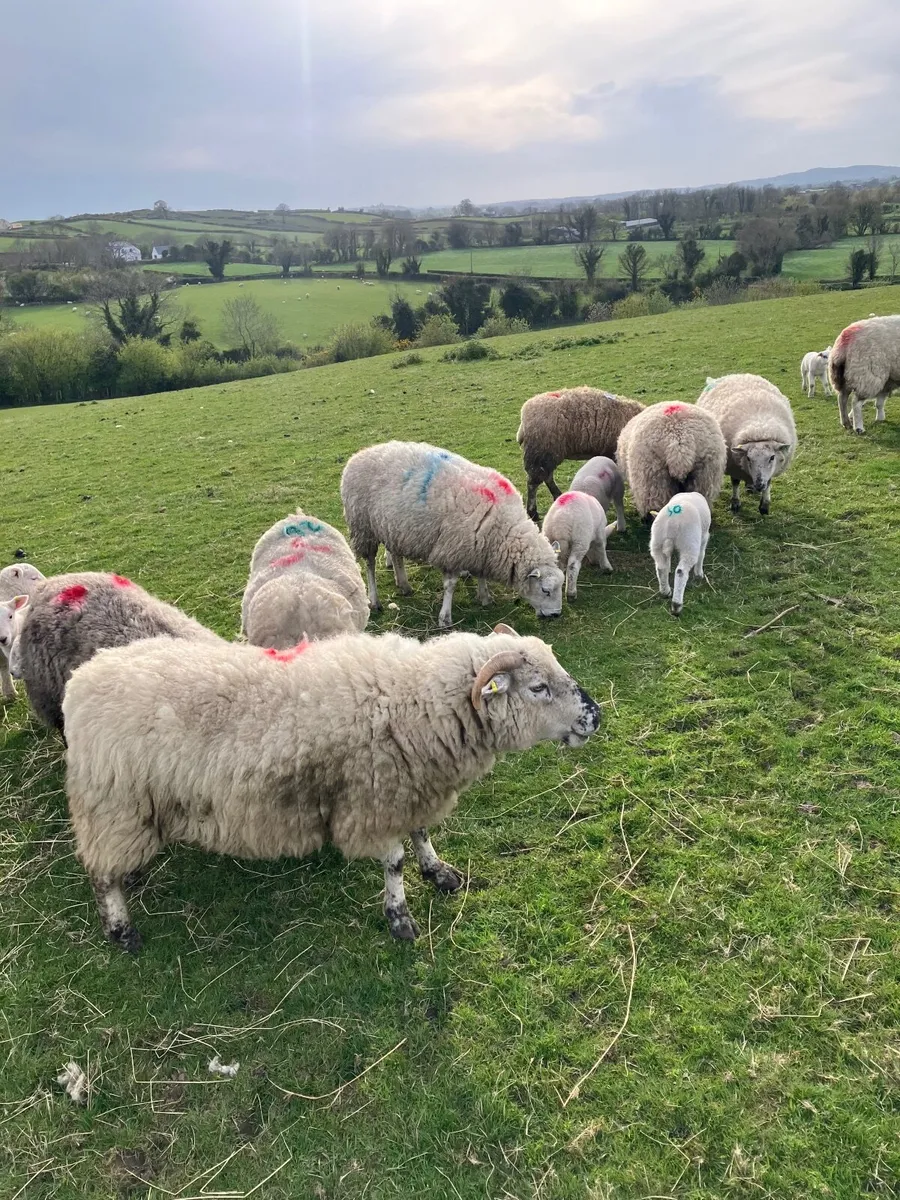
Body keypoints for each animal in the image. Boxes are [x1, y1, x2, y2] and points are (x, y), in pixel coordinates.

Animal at [62, 624, 602, 950]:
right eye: (538, 688)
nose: (595, 717)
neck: (415, 700)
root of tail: (82, 679)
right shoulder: (374, 798)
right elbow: (394, 861)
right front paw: (399, 916)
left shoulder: (413, 786)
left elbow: (422, 833)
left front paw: (438, 872)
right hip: (113, 803)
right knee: (100, 873)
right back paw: (120, 927)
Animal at [341, 441, 564, 629]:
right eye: (545, 590)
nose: (556, 615)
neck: (503, 528)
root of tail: (358, 455)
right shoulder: (453, 549)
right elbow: (450, 586)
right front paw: (445, 617)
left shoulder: (479, 547)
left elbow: (481, 574)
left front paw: (485, 597)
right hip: (363, 527)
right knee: (369, 564)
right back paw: (374, 600)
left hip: (393, 527)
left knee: (395, 554)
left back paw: (404, 584)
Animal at [517, 387, 644, 521]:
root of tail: (525, 415)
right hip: (540, 452)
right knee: (533, 482)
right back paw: (533, 512)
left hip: (547, 454)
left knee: (547, 477)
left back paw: (557, 495)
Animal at [696, 374, 797, 515]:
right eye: (748, 458)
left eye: (772, 457)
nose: (759, 485)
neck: (760, 429)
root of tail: (735, 375)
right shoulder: (733, 465)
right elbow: (735, 483)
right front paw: (735, 503)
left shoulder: (773, 468)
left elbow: (769, 483)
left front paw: (764, 505)